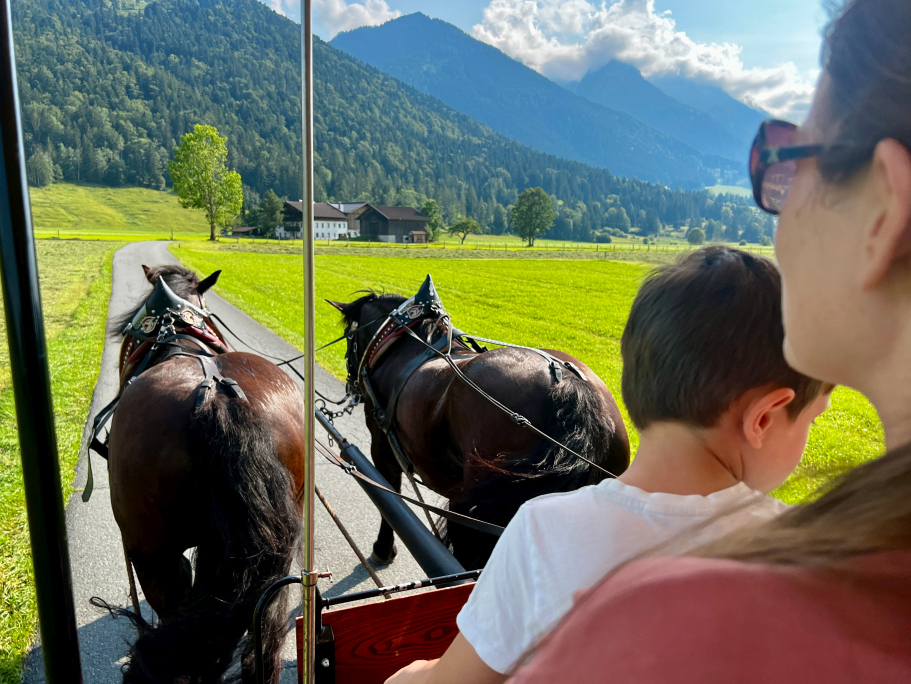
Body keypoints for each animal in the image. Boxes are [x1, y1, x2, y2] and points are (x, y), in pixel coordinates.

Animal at [332, 280, 632, 572]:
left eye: (348, 334)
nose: (352, 383)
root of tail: (567, 383)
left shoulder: (382, 447)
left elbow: (389, 495)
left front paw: (383, 550)